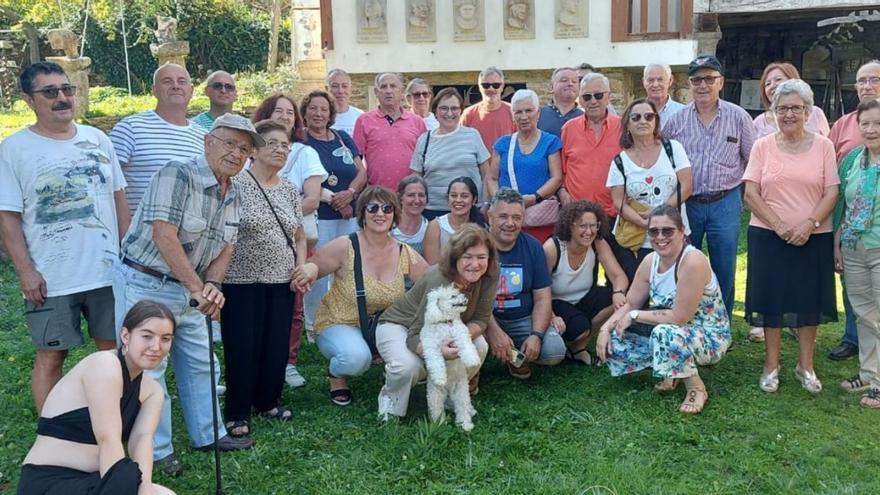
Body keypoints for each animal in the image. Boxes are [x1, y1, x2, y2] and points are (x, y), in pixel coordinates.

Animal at [422, 284, 482, 432]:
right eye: (453, 296)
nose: (465, 296)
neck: (445, 322)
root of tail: (449, 393)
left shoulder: (461, 334)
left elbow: (466, 345)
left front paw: (472, 360)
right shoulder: (430, 346)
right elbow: (435, 361)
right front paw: (440, 377)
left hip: (461, 391)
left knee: (463, 407)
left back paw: (466, 424)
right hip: (435, 395)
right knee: (437, 410)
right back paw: (440, 424)